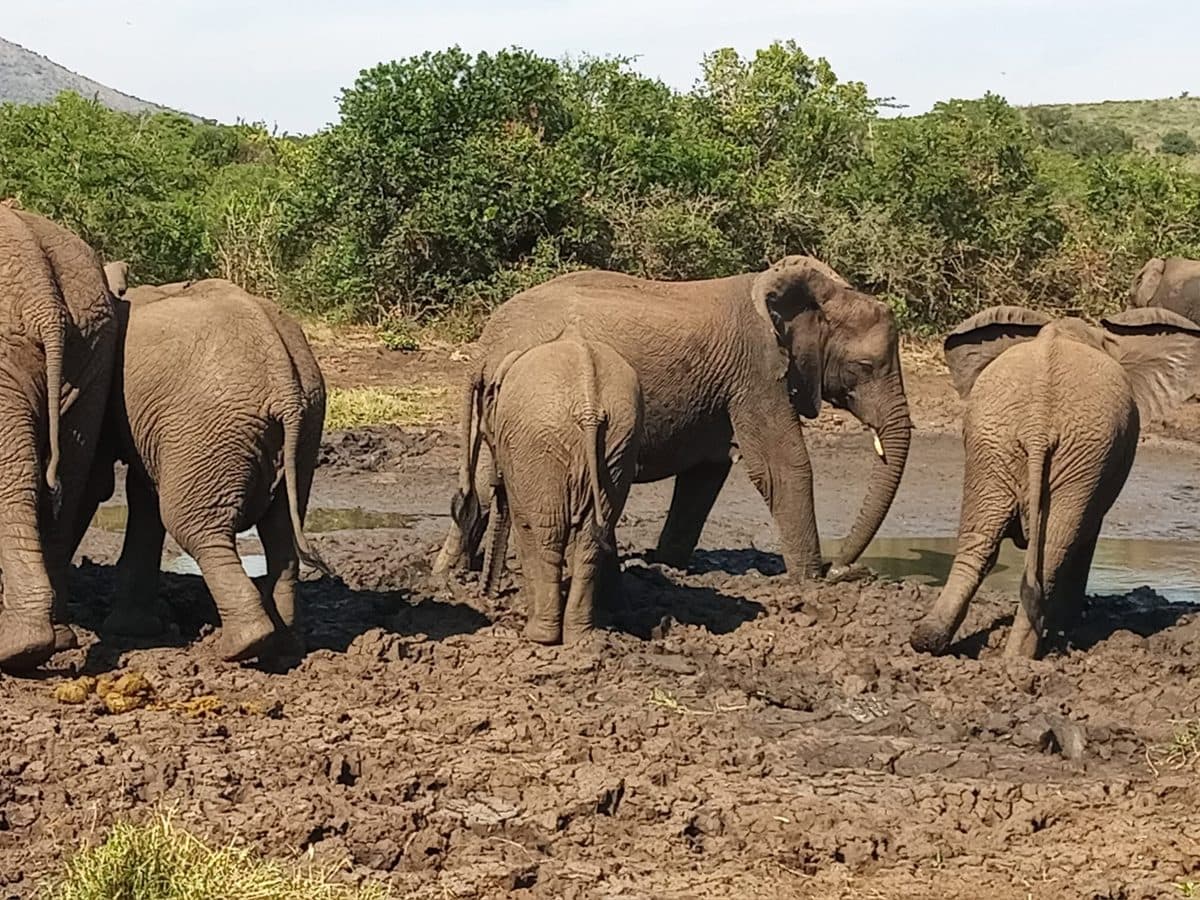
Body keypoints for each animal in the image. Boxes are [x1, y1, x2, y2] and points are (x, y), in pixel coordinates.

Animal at [92, 278, 329, 661]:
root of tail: (284, 382)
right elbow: (142, 495)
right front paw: (132, 629)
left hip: (209, 426)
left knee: (193, 526)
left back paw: (241, 646)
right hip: (305, 425)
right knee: (280, 532)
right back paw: (285, 648)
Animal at [434, 255, 912, 585]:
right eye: (865, 367)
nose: (841, 569)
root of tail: (484, 347)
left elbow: (704, 478)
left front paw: (666, 567)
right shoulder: (757, 372)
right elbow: (782, 468)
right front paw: (809, 583)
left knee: (480, 487)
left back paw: (451, 573)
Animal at [465, 326, 643, 644]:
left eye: (486, 435)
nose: (487, 596)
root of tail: (589, 407)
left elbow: (524, 525)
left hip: (542, 445)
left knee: (548, 532)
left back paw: (540, 634)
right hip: (620, 441)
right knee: (590, 537)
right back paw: (579, 636)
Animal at [910, 305, 1200, 659]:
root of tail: (1038, 421)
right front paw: (1071, 625)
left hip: (995, 443)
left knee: (979, 542)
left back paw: (930, 640)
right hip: (1073, 451)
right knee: (1053, 552)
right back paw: (1022, 657)